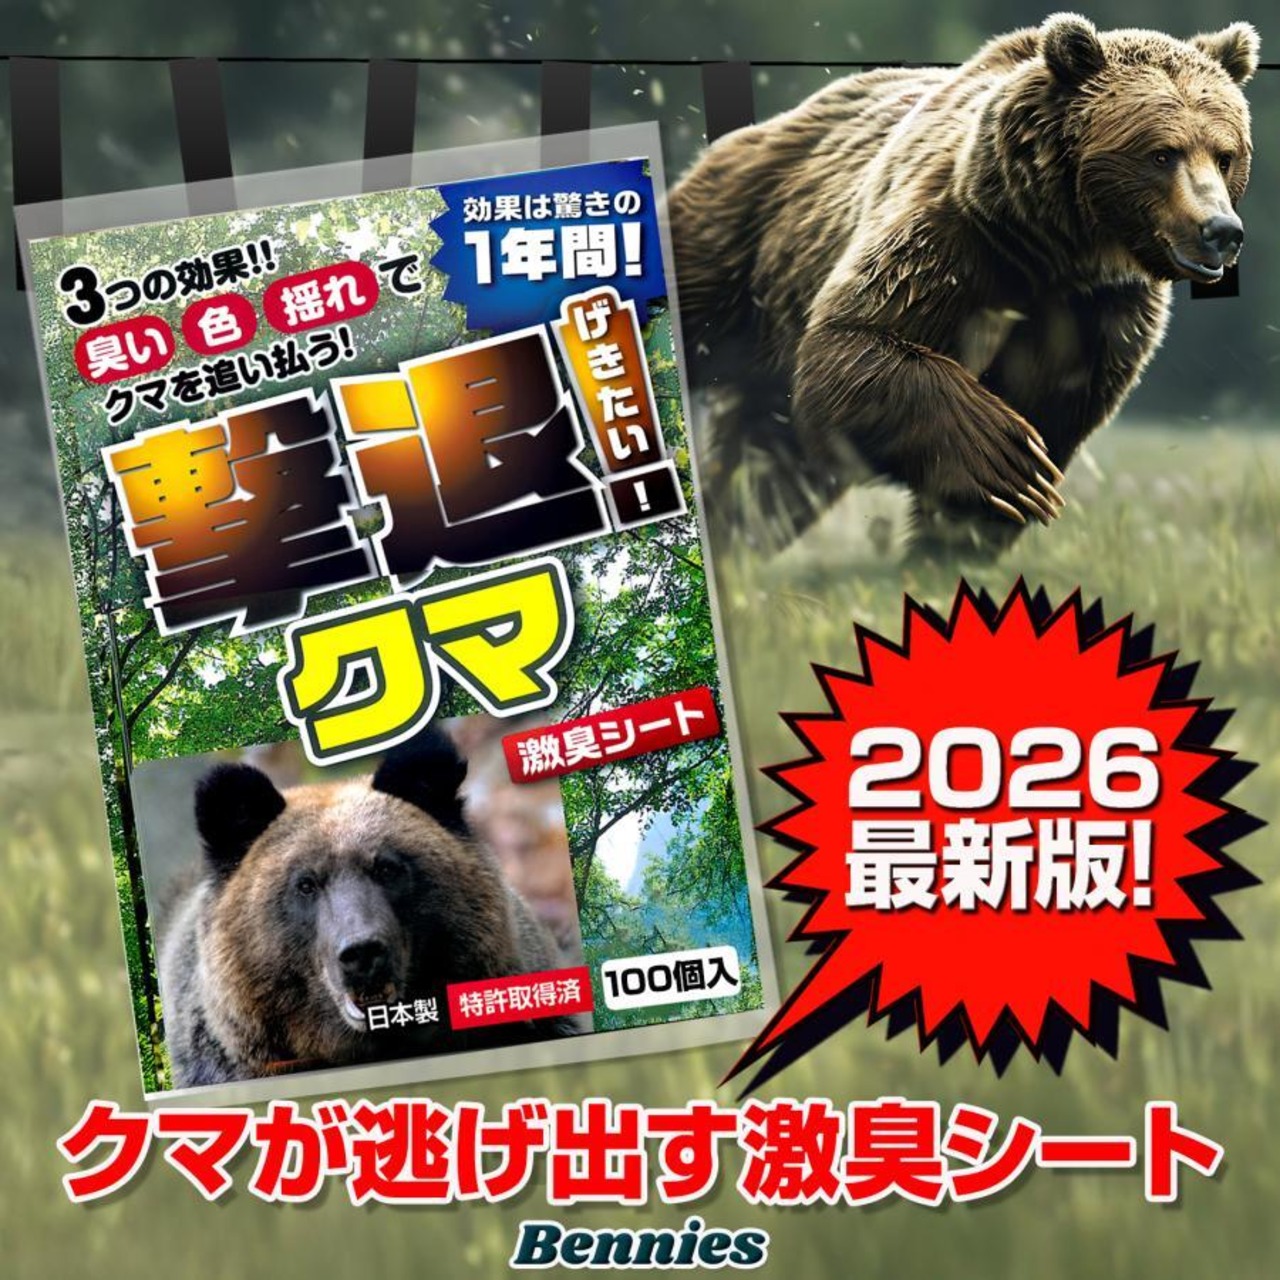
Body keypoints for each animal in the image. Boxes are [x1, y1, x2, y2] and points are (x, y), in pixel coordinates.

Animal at [669, 13, 1258, 555]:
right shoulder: (949, 238)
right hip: (744, 235)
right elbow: (853, 342)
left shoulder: (1098, 315)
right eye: (1162, 153)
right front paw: (1005, 460)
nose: (1220, 231)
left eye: (1225, 154)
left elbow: (1049, 416)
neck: (1054, 248)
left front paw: (964, 534)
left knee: (769, 468)